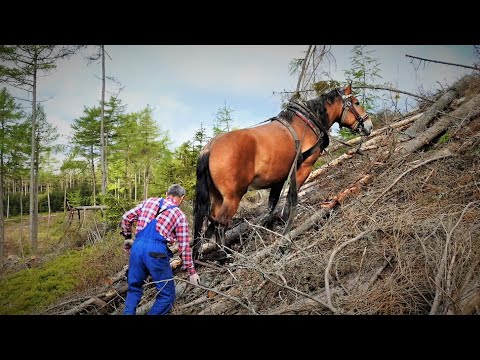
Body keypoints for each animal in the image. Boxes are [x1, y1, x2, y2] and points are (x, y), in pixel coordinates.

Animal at [193, 84, 374, 258]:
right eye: (357, 102)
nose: (369, 125)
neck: (307, 123)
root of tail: (210, 147)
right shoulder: (304, 168)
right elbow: (292, 196)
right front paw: (286, 220)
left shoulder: (279, 177)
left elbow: (272, 203)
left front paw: (269, 224)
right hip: (233, 197)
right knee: (220, 222)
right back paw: (224, 254)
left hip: (217, 196)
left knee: (212, 219)